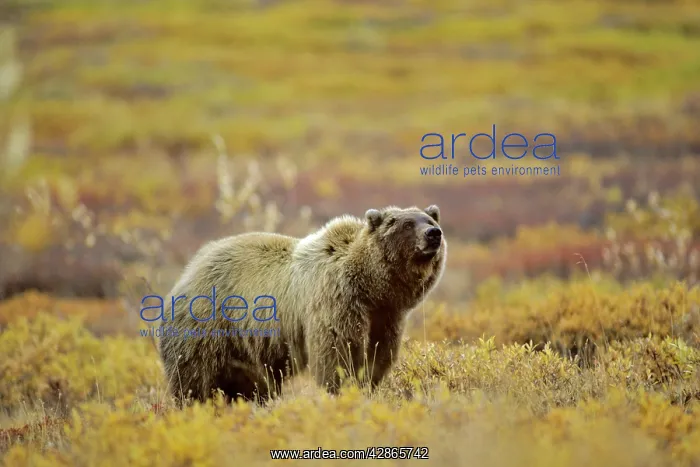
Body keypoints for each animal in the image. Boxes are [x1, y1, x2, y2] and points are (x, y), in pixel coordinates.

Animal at [157, 204, 446, 405]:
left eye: (429, 219)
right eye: (407, 224)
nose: (434, 233)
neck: (370, 287)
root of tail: (189, 269)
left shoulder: (386, 315)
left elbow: (378, 354)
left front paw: (368, 384)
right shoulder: (335, 301)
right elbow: (336, 353)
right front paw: (343, 389)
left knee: (252, 382)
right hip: (209, 325)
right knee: (195, 375)